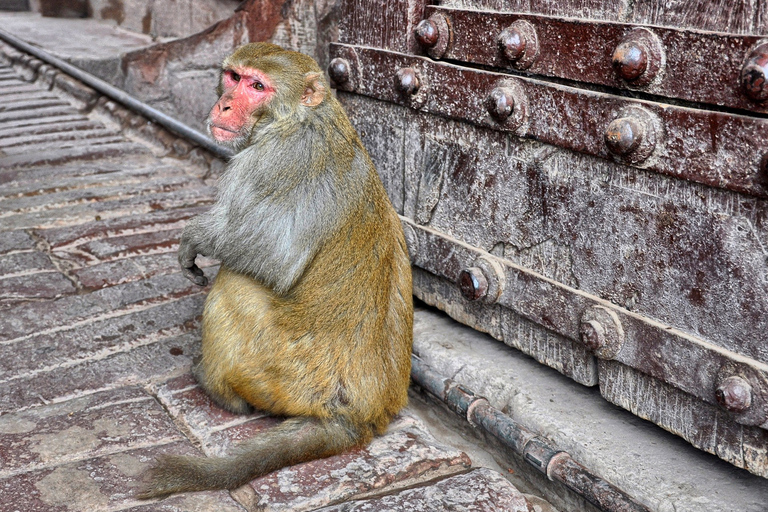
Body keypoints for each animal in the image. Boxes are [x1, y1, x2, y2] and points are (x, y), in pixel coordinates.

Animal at [138, 44, 414, 500]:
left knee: (234, 283)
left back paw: (216, 388)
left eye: (257, 86)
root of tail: (360, 417)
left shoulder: (272, 160)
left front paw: (195, 236)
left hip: (285, 376)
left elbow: (275, 256)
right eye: (233, 77)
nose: (224, 104)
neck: (302, 116)